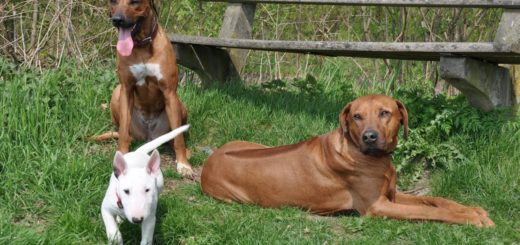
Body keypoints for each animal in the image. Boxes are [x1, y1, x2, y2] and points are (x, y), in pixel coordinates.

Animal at [106, 0, 194, 176]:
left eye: (135, 2)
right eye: (113, 1)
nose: (117, 20)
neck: (141, 45)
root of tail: (150, 136)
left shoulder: (169, 92)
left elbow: (179, 138)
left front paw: (183, 164)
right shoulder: (126, 89)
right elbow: (123, 133)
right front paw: (122, 158)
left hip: (179, 105)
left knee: (175, 136)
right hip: (117, 92)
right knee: (123, 132)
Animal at [201, 94, 494, 228]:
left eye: (385, 113)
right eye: (357, 116)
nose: (370, 137)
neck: (372, 158)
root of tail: (208, 162)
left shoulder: (392, 194)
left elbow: (435, 200)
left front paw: (473, 210)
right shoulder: (377, 206)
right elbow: (430, 211)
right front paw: (471, 218)